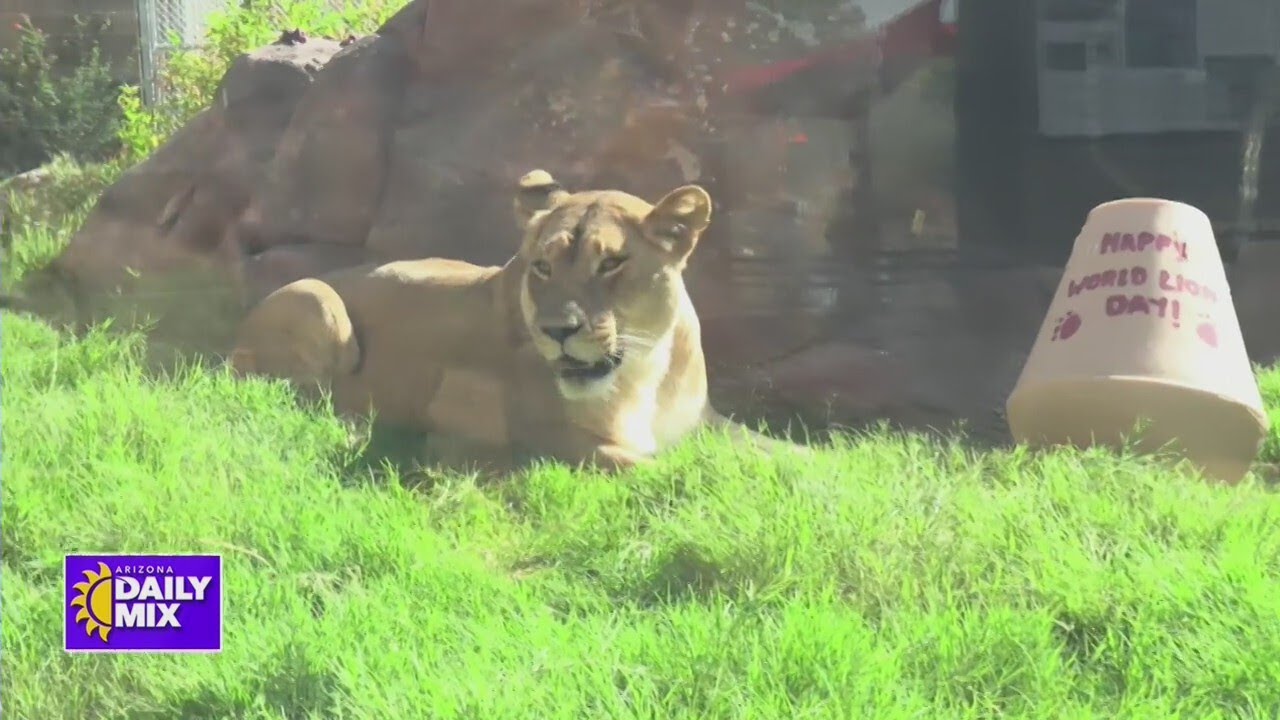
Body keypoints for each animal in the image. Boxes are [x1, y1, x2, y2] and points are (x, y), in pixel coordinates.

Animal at [229, 170, 802, 471]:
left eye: (611, 264)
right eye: (542, 267)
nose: (557, 332)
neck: (647, 370)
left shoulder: (707, 420)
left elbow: (784, 449)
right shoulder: (540, 432)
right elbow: (655, 464)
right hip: (322, 307)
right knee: (293, 390)